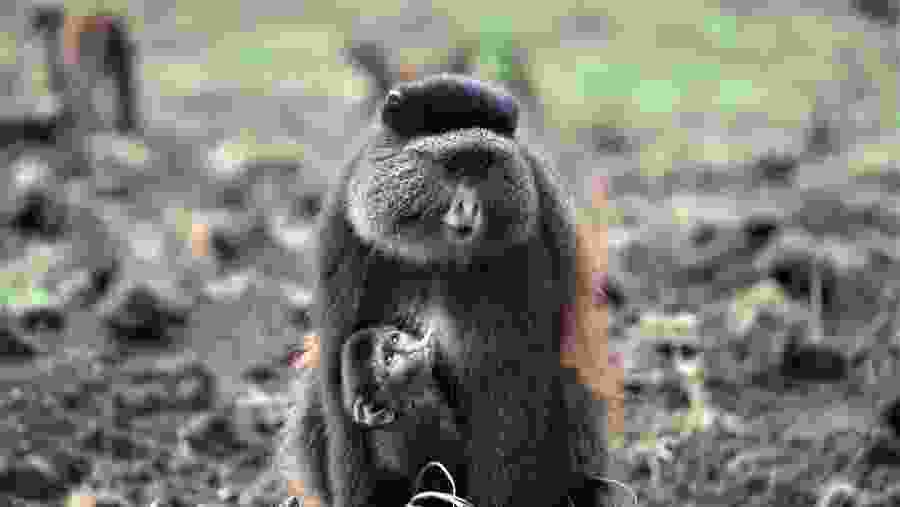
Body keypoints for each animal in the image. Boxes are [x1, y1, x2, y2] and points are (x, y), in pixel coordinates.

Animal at [278, 74, 609, 507]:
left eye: (483, 166)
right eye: (451, 167)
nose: (469, 208)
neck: (438, 255)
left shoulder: (530, 243)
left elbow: (512, 393)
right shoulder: (346, 236)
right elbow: (338, 389)